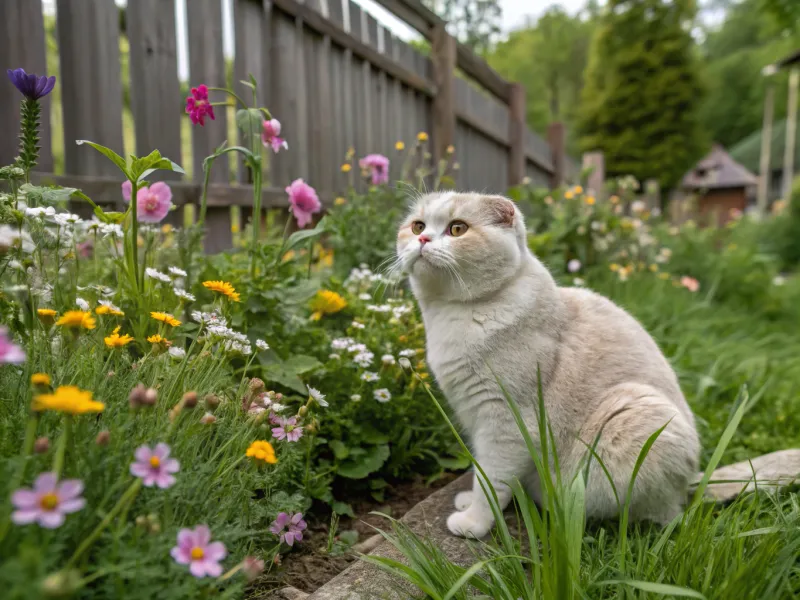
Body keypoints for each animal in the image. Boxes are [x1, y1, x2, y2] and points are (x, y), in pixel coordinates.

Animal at [396, 192, 696, 540]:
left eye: (457, 229)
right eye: (417, 226)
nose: (422, 239)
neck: (451, 314)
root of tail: (686, 490)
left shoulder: (505, 423)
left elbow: (491, 481)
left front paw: (474, 522)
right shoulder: (476, 417)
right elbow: (480, 469)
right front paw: (468, 500)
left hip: (635, 413)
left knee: (648, 518)